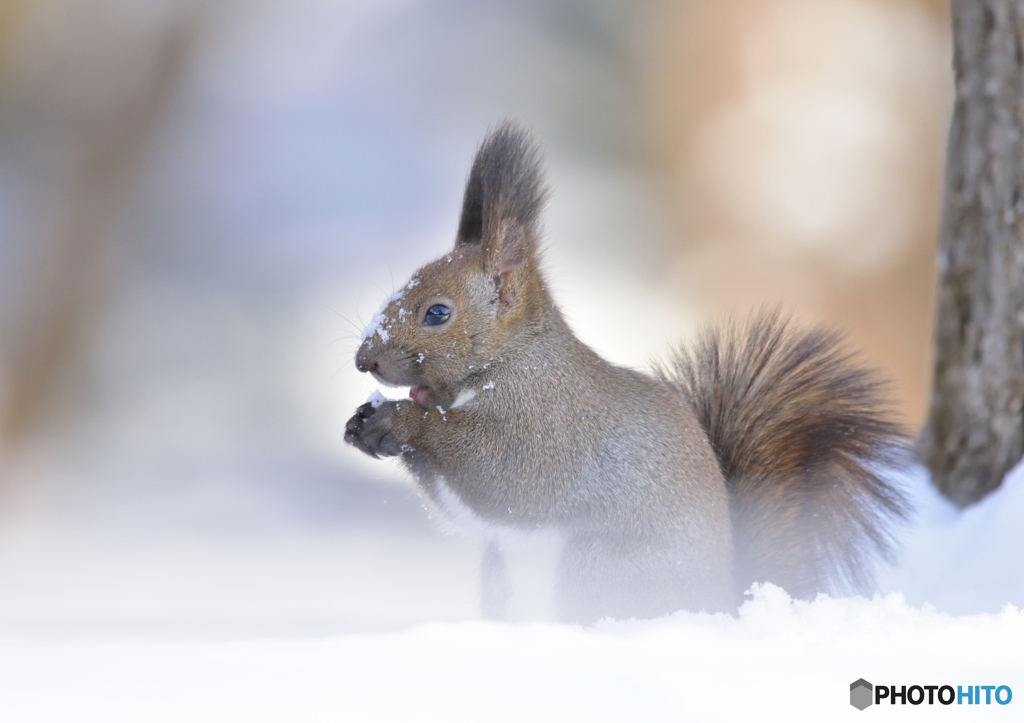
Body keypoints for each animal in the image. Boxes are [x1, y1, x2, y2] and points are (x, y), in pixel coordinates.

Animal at [348, 120, 909, 622]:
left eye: (437, 313)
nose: (363, 360)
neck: (510, 362)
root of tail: (720, 606)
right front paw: (363, 424)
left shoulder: (550, 426)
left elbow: (503, 477)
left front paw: (399, 421)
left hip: (598, 565)